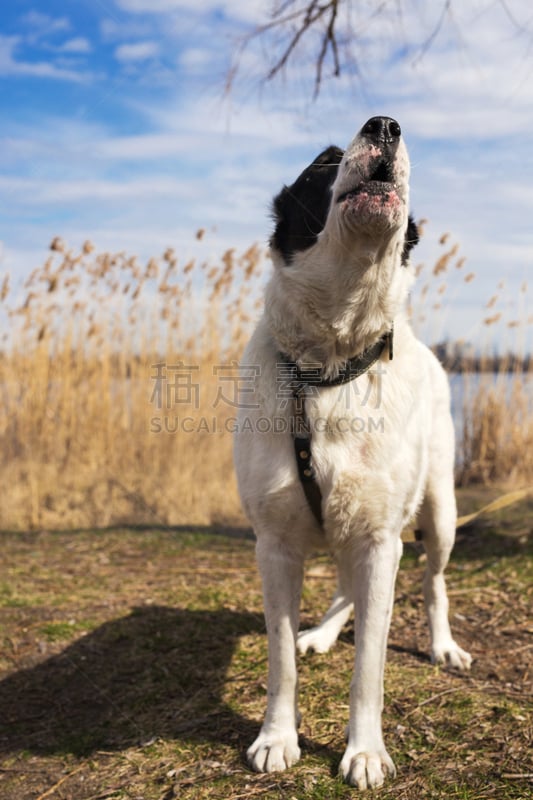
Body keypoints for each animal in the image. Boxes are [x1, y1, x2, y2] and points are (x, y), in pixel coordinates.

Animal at [233, 115, 470, 792]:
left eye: (406, 147)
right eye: (323, 163)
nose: (385, 125)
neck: (330, 362)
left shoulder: (380, 540)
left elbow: (370, 666)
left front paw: (365, 752)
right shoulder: (275, 544)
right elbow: (279, 659)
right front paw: (277, 738)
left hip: (438, 512)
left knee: (434, 582)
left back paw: (442, 645)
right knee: (344, 585)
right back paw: (322, 632)